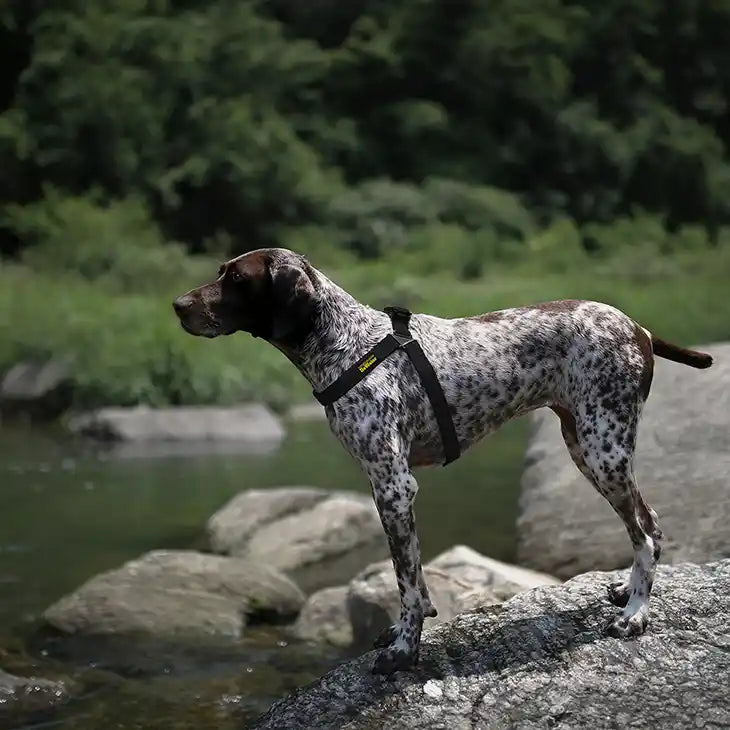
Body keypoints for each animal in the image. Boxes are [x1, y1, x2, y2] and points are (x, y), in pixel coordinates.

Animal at [172, 247, 712, 672]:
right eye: (220, 272)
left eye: (236, 279)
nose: (177, 306)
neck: (345, 344)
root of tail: (637, 326)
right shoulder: (389, 490)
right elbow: (415, 578)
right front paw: (401, 636)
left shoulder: (393, 488)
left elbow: (407, 586)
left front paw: (404, 650)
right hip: (585, 445)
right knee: (648, 525)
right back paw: (628, 590)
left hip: (605, 450)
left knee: (645, 531)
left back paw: (636, 613)